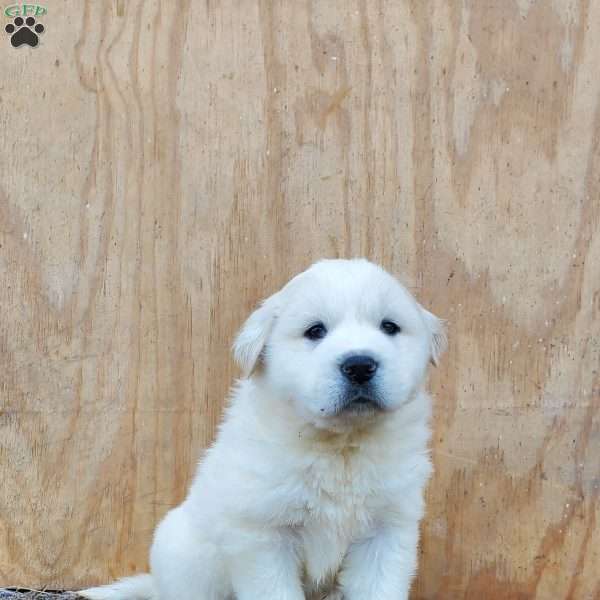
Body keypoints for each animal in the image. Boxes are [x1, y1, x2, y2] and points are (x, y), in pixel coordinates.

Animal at [81, 258, 446, 600]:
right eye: (315, 331)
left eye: (389, 327)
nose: (359, 365)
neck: (341, 446)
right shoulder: (263, 537)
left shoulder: (387, 531)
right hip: (185, 557)